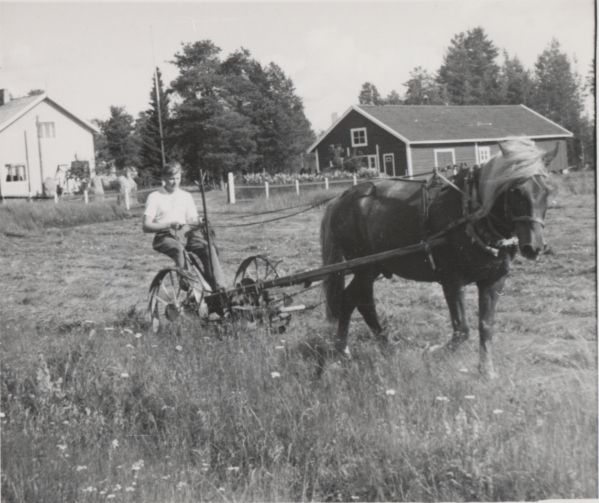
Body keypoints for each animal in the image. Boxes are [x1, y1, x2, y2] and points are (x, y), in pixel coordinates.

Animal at [322, 138, 560, 378]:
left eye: (548, 190)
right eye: (515, 191)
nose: (533, 247)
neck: (472, 215)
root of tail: (341, 197)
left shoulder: (494, 280)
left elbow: (486, 325)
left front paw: (486, 370)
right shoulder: (452, 280)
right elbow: (462, 329)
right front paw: (432, 353)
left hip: (375, 266)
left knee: (356, 301)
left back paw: (370, 348)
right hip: (365, 266)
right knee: (354, 300)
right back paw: (349, 349)